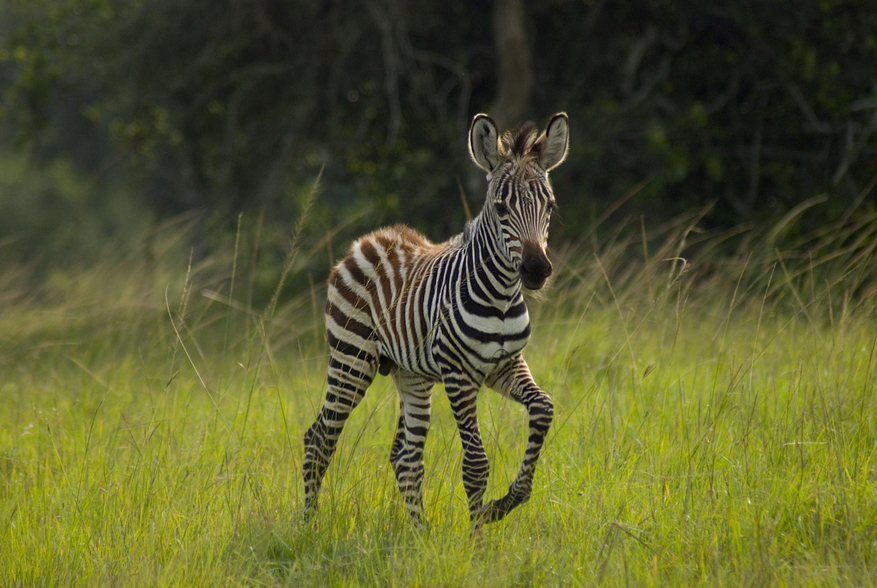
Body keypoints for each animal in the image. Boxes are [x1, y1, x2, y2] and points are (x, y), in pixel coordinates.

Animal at [304, 111, 572, 528]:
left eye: (550, 207)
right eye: (501, 208)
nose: (536, 270)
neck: (499, 297)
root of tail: (368, 239)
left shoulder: (506, 365)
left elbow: (543, 408)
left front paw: (506, 502)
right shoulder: (459, 376)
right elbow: (476, 464)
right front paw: (479, 536)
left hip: (411, 375)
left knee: (405, 458)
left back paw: (420, 534)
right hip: (351, 360)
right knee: (318, 440)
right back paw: (307, 526)